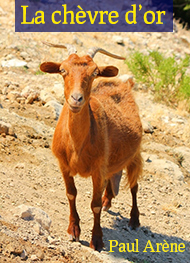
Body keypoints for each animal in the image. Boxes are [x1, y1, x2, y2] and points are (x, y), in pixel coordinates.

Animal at [40, 42, 142, 253]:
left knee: (134, 185)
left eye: (95, 72)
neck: (77, 145)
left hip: (135, 154)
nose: (76, 99)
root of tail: (123, 84)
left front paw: (97, 240)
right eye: (63, 70)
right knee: (114, 175)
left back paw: (134, 219)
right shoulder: (63, 165)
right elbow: (71, 194)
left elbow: (94, 205)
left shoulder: (98, 169)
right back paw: (108, 199)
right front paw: (73, 230)